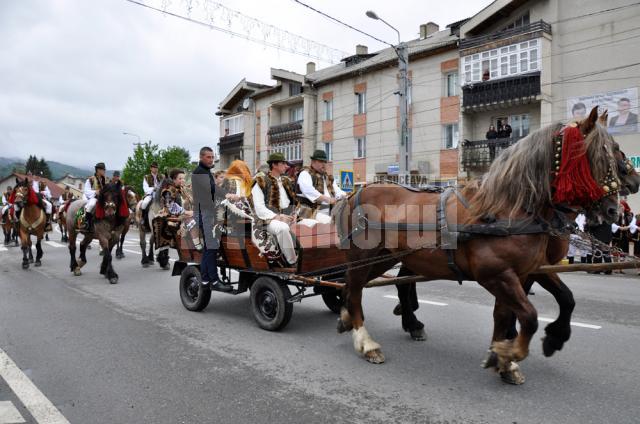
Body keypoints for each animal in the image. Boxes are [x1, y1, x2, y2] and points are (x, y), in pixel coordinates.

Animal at [336, 115, 620, 384]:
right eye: (598, 155)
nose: (614, 210)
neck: (506, 209)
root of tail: (354, 194)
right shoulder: (497, 275)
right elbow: (529, 316)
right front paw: (510, 352)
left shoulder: (525, 272)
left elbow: (515, 312)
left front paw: (505, 358)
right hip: (365, 256)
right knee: (356, 290)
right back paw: (366, 342)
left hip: (383, 259)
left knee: (353, 286)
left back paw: (351, 318)